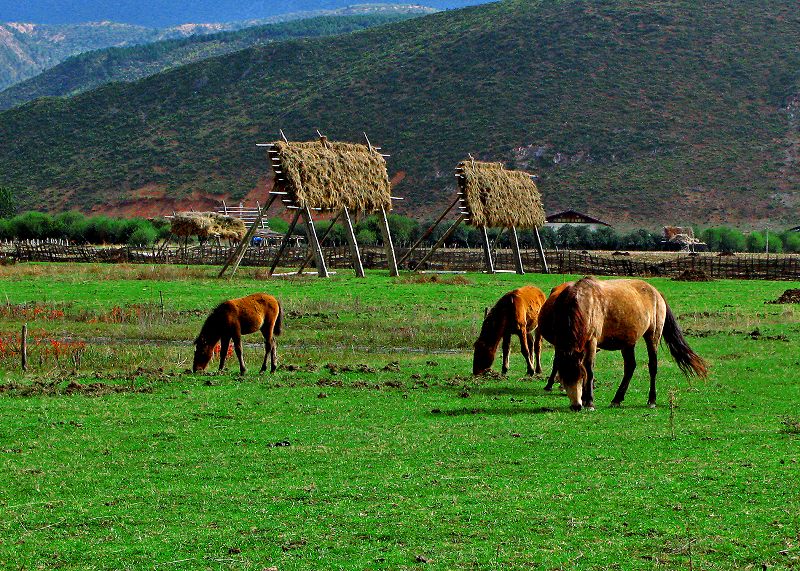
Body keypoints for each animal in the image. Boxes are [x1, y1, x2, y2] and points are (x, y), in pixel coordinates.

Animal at [552, 278, 708, 412]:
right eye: (563, 378)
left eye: (580, 376)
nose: (576, 406)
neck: (584, 302)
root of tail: (656, 292)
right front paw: (585, 399)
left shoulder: (592, 341)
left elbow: (589, 369)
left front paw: (589, 402)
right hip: (628, 342)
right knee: (630, 367)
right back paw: (617, 399)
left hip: (652, 336)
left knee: (652, 366)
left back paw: (651, 400)